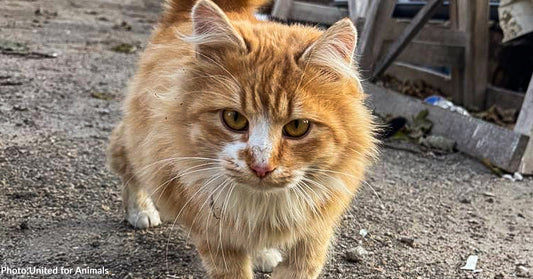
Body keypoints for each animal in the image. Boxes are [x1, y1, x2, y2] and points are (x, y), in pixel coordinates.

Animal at [106, 1, 376, 278]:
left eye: (298, 127)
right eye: (234, 118)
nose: (261, 166)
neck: (263, 204)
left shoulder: (317, 228)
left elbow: (302, 264)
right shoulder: (214, 233)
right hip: (139, 144)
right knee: (127, 167)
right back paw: (141, 211)